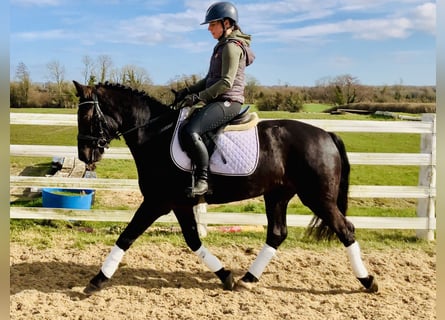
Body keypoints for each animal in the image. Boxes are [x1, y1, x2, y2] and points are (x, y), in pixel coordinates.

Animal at [73, 80, 378, 296]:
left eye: (88, 117)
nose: (85, 156)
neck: (155, 135)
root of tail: (326, 134)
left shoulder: (156, 202)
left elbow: (126, 236)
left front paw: (96, 280)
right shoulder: (179, 203)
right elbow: (193, 241)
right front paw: (226, 275)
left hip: (318, 198)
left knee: (345, 230)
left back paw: (368, 281)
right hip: (277, 195)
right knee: (277, 234)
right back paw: (248, 279)